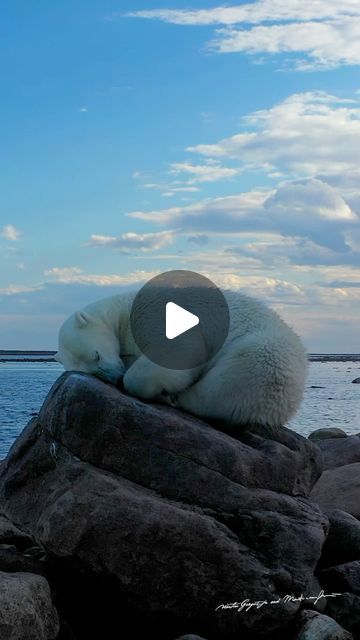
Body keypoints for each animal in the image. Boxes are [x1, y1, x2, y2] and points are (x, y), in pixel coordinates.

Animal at [55, 292, 306, 430]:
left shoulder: (153, 312)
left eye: (96, 354)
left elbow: (180, 347)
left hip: (261, 356)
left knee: (220, 388)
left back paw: (173, 397)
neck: (123, 309)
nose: (115, 378)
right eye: (92, 371)